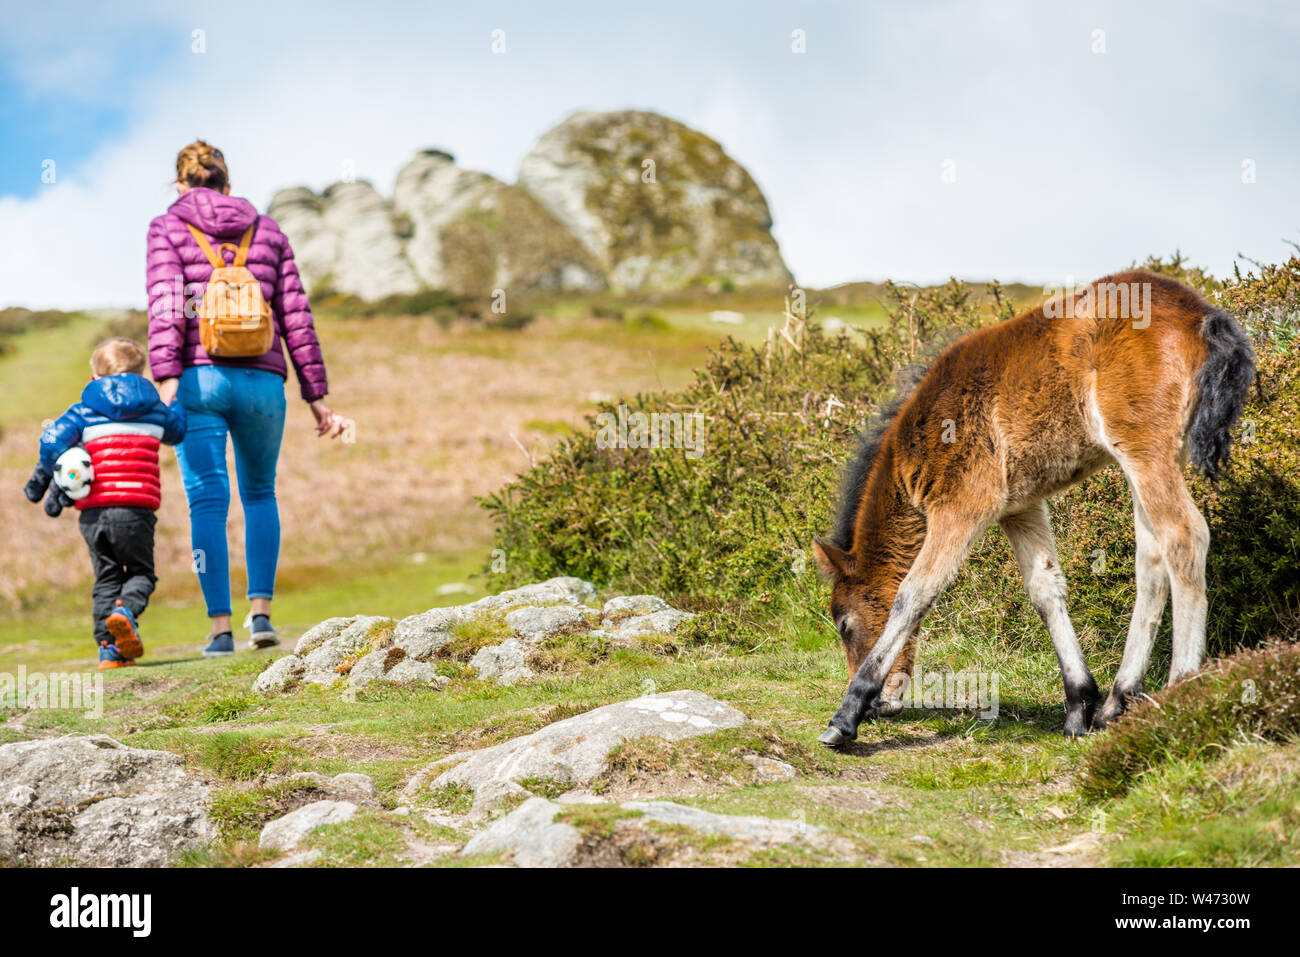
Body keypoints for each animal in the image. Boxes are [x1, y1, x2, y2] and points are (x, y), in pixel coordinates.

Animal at [812, 270, 1255, 748]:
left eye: (844, 625)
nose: (883, 707)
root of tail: (1203, 314)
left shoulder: (961, 505)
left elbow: (915, 592)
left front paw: (847, 713)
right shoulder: (1020, 507)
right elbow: (1045, 590)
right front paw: (1080, 705)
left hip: (1144, 449)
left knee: (1184, 537)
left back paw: (1178, 697)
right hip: (1152, 458)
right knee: (1152, 563)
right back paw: (1115, 703)